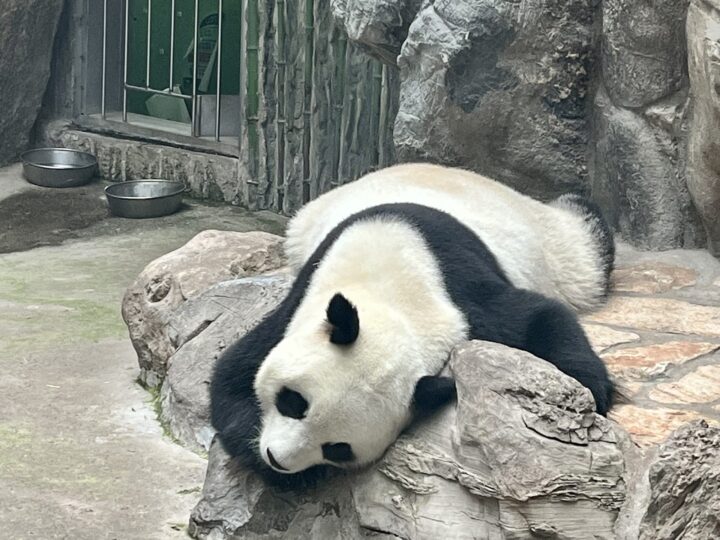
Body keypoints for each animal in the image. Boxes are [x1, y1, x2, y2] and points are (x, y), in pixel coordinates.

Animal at [211, 163, 615, 485]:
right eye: (294, 402)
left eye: (338, 448)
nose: (276, 459)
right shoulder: (301, 300)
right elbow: (233, 376)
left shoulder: (462, 293)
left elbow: (538, 316)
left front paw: (586, 392)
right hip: (301, 226)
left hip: (557, 247)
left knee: (585, 241)